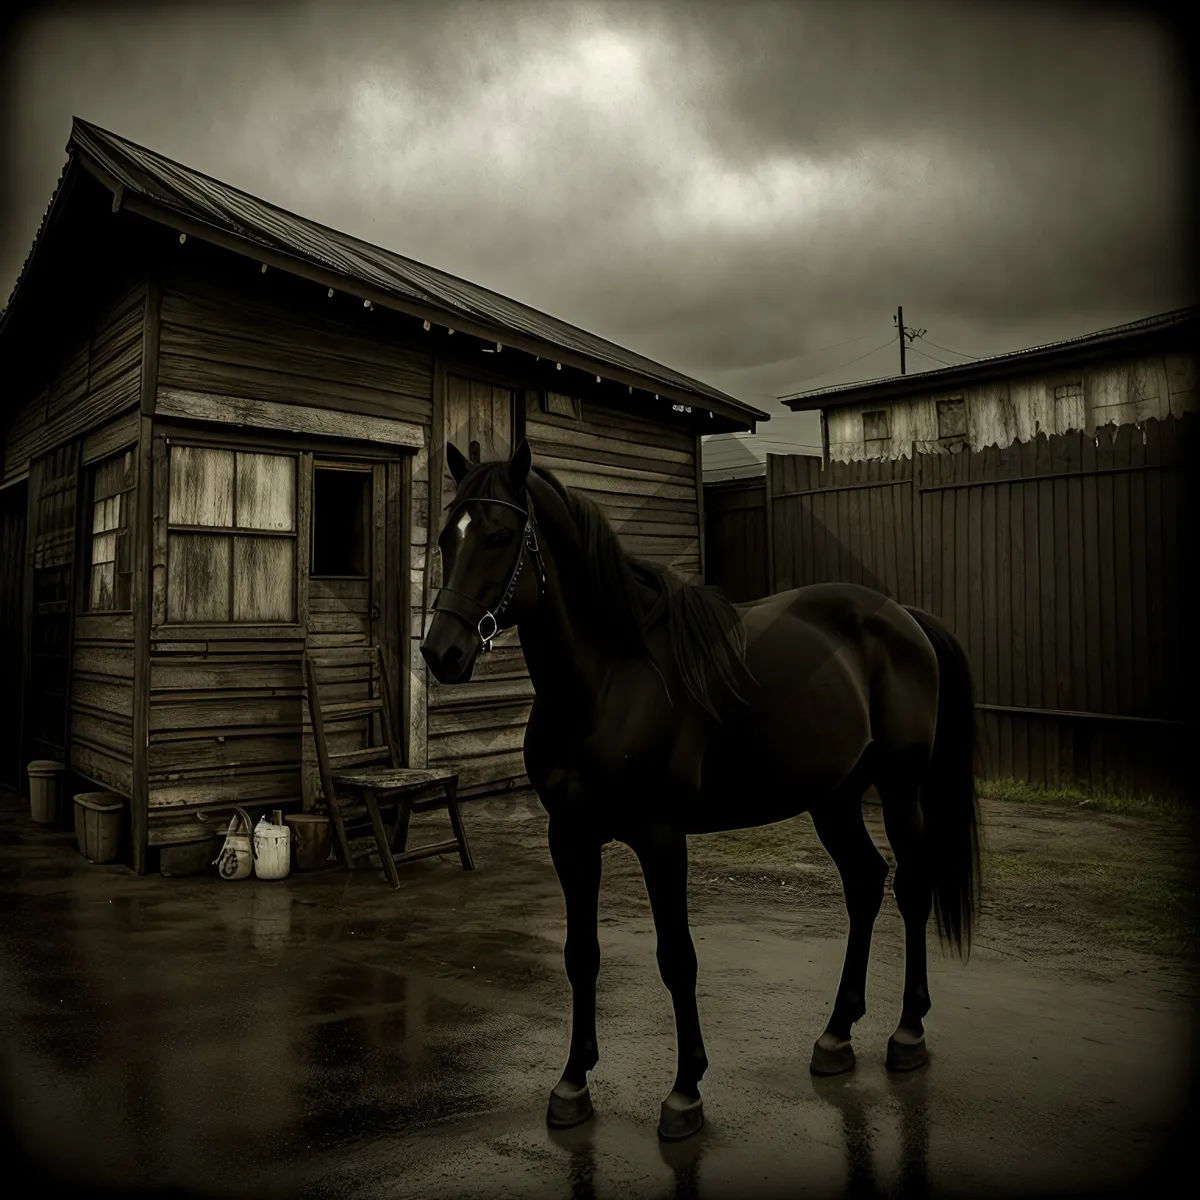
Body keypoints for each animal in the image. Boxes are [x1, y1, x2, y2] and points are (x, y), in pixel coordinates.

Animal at [417, 444, 979, 1142]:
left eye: (498, 537)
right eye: (447, 536)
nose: (441, 652)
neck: (607, 682)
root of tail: (905, 618)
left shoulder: (662, 839)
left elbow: (676, 958)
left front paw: (685, 1091)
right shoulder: (569, 838)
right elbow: (581, 955)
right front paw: (573, 1082)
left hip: (900, 789)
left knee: (910, 888)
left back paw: (907, 1031)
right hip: (834, 798)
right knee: (865, 885)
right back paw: (836, 1034)